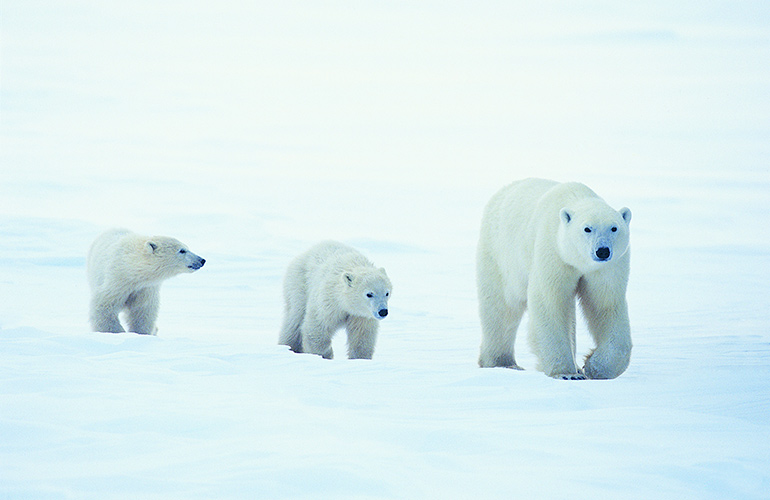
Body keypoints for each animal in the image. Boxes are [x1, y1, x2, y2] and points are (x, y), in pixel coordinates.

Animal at [476, 178, 632, 380]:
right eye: (587, 228)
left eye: (614, 228)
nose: (603, 251)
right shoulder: (553, 251)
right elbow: (550, 302)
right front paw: (567, 373)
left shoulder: (607, 268)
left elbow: (605, 305)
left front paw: (593, 367)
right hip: (501, 256)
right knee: (501, 308)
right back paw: (502, 362)